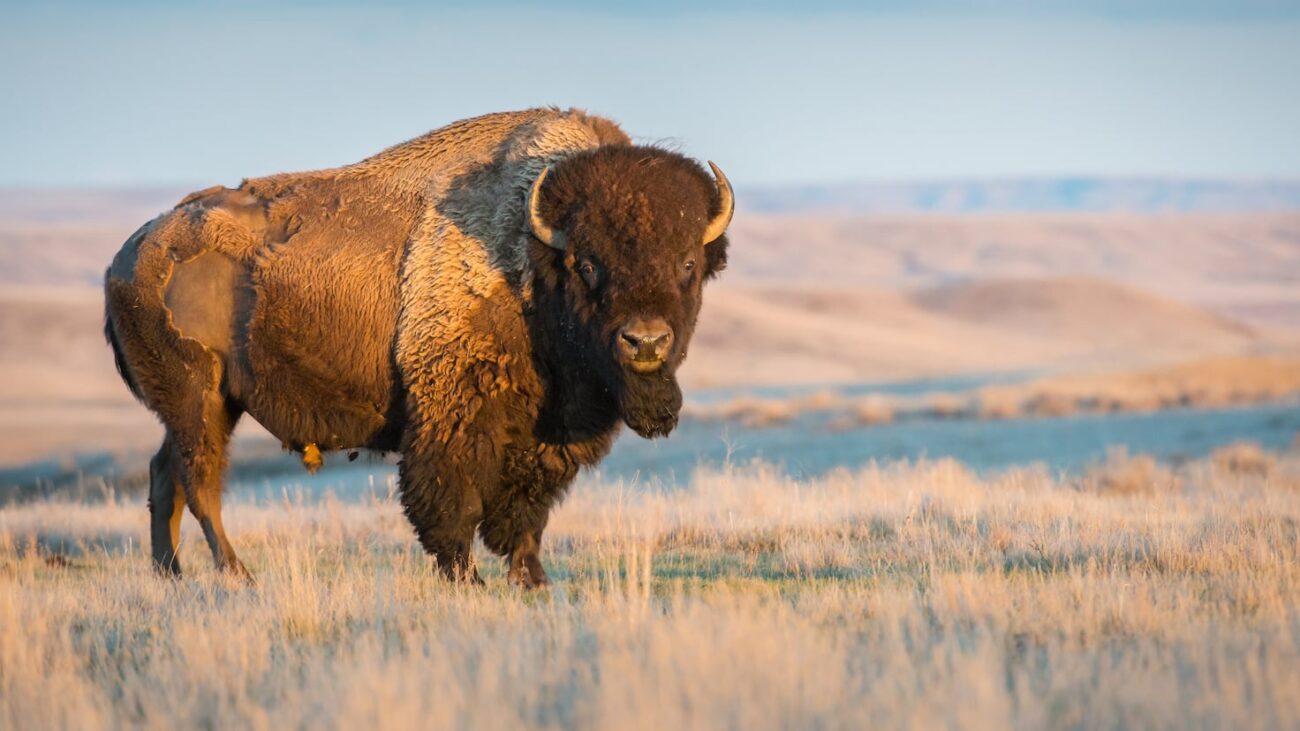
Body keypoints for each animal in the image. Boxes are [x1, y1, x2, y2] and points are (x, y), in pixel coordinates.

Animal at [103, 108, 733, 586]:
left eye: (688, 264)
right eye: (587, 264)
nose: (645, 341)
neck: (530, 256)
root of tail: (129, 255)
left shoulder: (546, 436)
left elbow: (527, 511)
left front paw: (532, 579)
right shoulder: (452, 413)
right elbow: (453, 500)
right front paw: (468, 580)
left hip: (205, 406)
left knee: (165, 474)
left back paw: (171, 574)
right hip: (200, 398)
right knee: (200, 481)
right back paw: (237, 575)